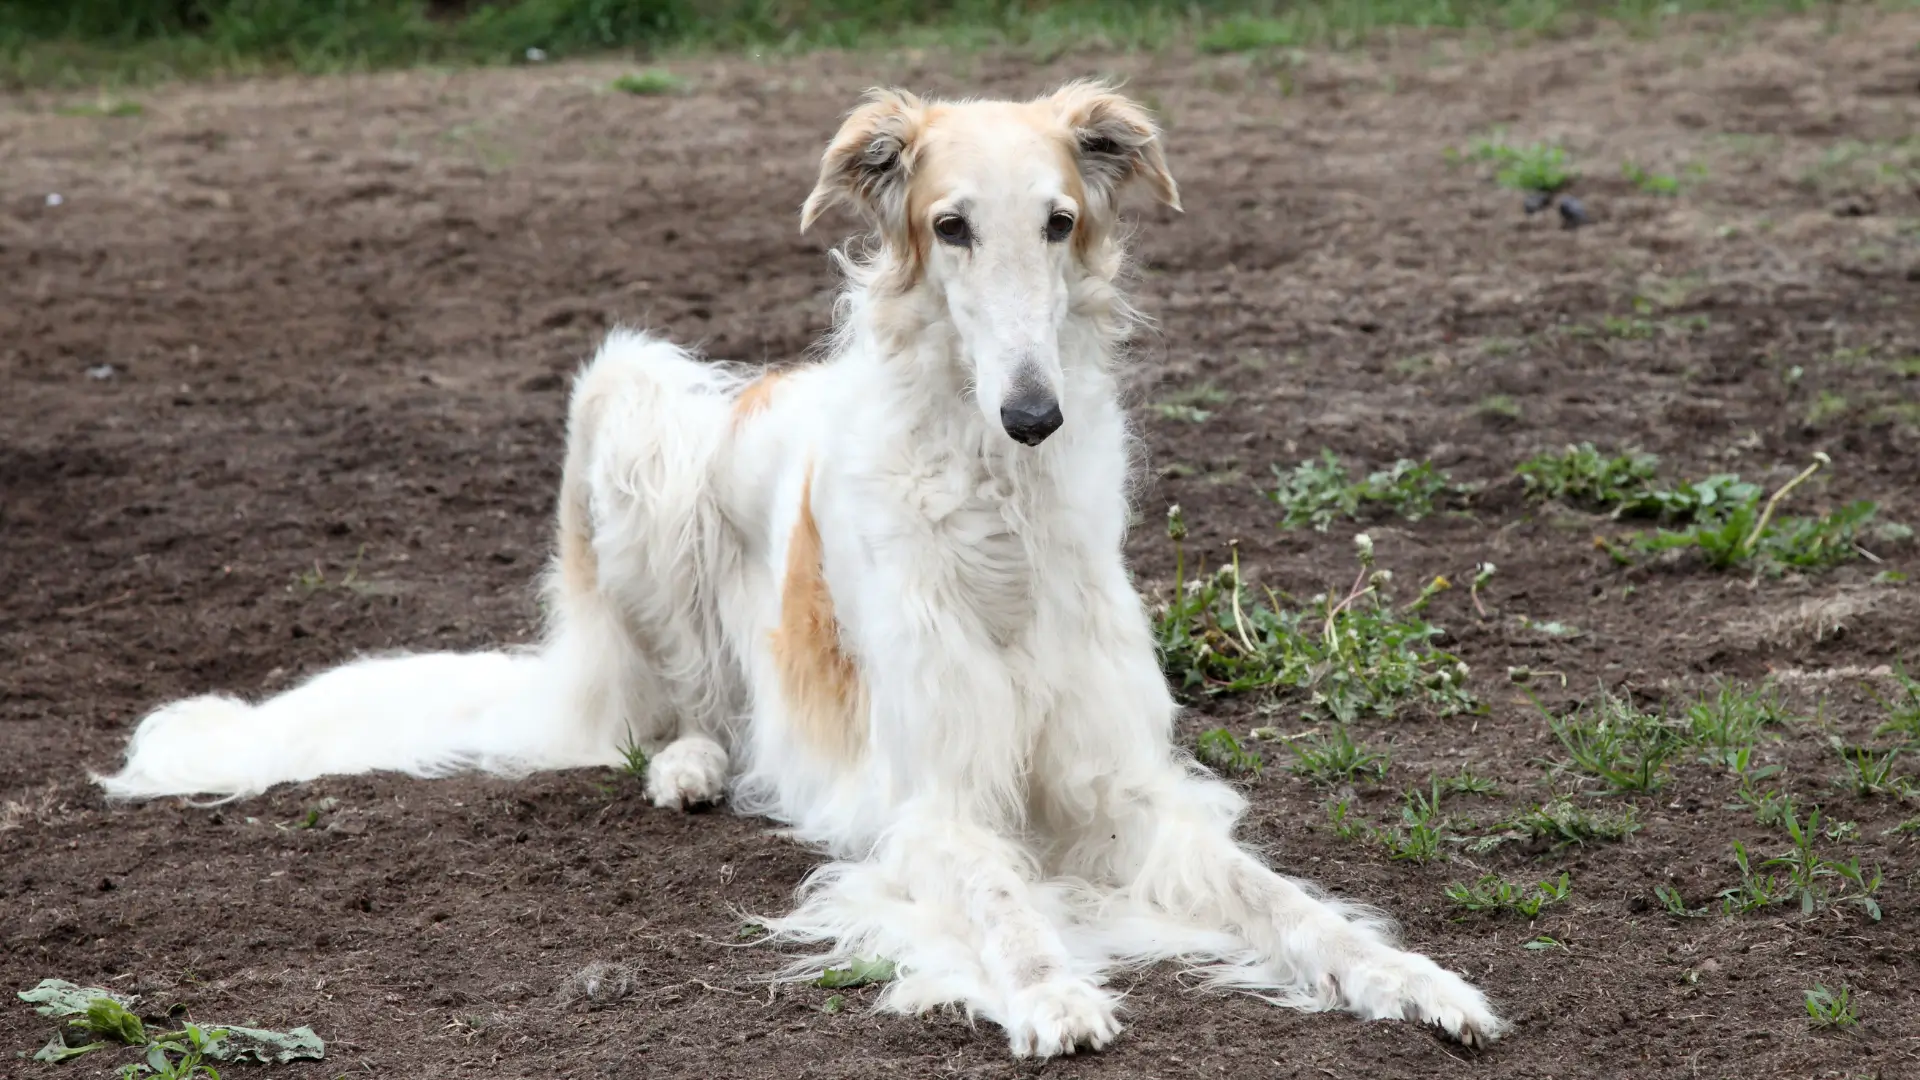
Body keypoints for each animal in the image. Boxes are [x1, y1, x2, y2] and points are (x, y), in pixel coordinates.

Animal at [97, 82, 1505, 1053]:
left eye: (1060, 223)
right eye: (950, 227)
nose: (1032, 415)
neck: (996, 517)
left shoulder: (1122, 788)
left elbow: (1290, 904)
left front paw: (1416, 979)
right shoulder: (934, 802)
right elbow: (1004, 903)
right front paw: (1054, 993)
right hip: (630, 401)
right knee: (676, 704)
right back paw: (691, 765)